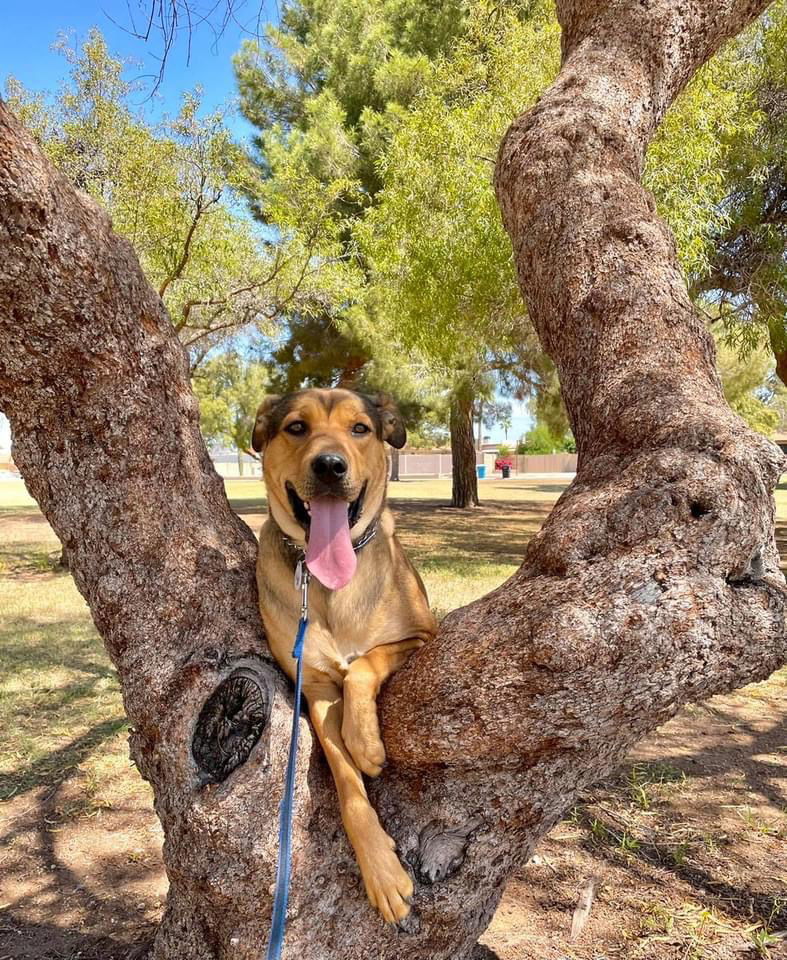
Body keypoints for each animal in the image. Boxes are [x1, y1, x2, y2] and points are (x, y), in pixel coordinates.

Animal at [252, 388, 438, 924]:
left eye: (360, 428)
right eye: (296, 427)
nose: (331, 465)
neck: (327, 583)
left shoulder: (422, 636)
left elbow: (363, 664)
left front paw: (367, 744)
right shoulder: (314, 690)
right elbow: (346, 783)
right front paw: (381, 871)